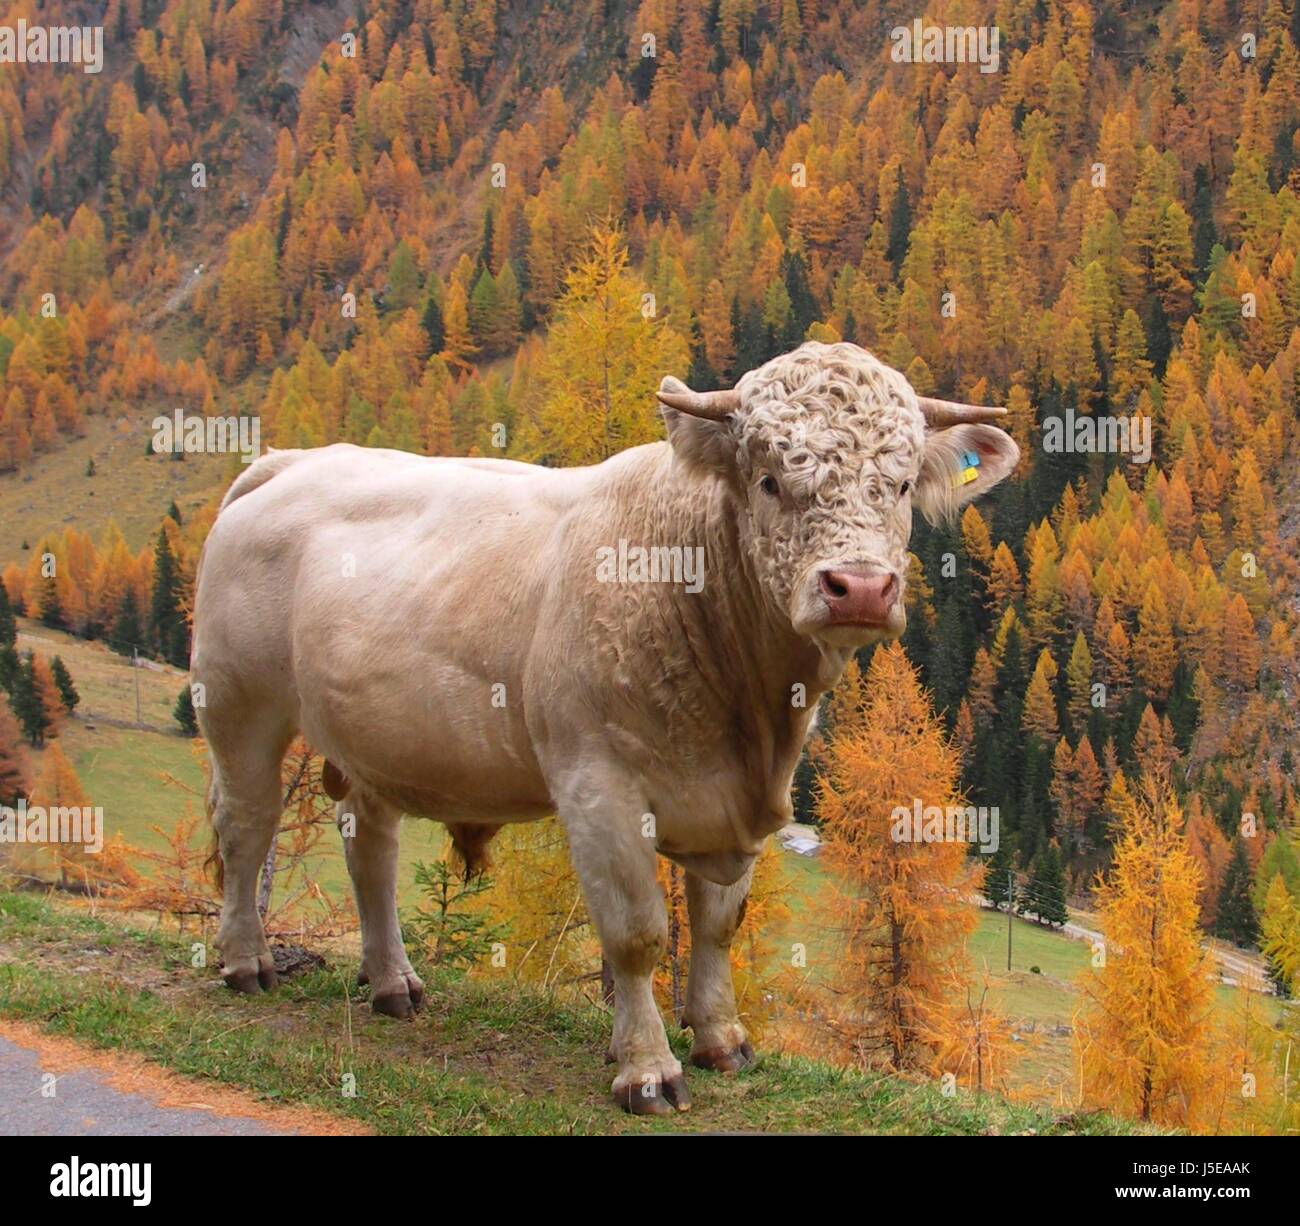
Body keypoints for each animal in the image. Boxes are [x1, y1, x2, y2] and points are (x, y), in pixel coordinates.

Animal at [191, 341, 1019, 1114]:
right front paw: (647, 1068)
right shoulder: (598, 787)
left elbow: (717, 924)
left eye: (902, 485)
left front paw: (721, 1038)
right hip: (239, 703)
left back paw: (393, 983)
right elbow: (637, 934)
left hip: (374, 737)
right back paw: (245, 962)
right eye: (770, 481)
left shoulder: (729, 801)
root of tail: (291, 462)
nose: (861, 588)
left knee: (371, 849)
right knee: (246, 825)